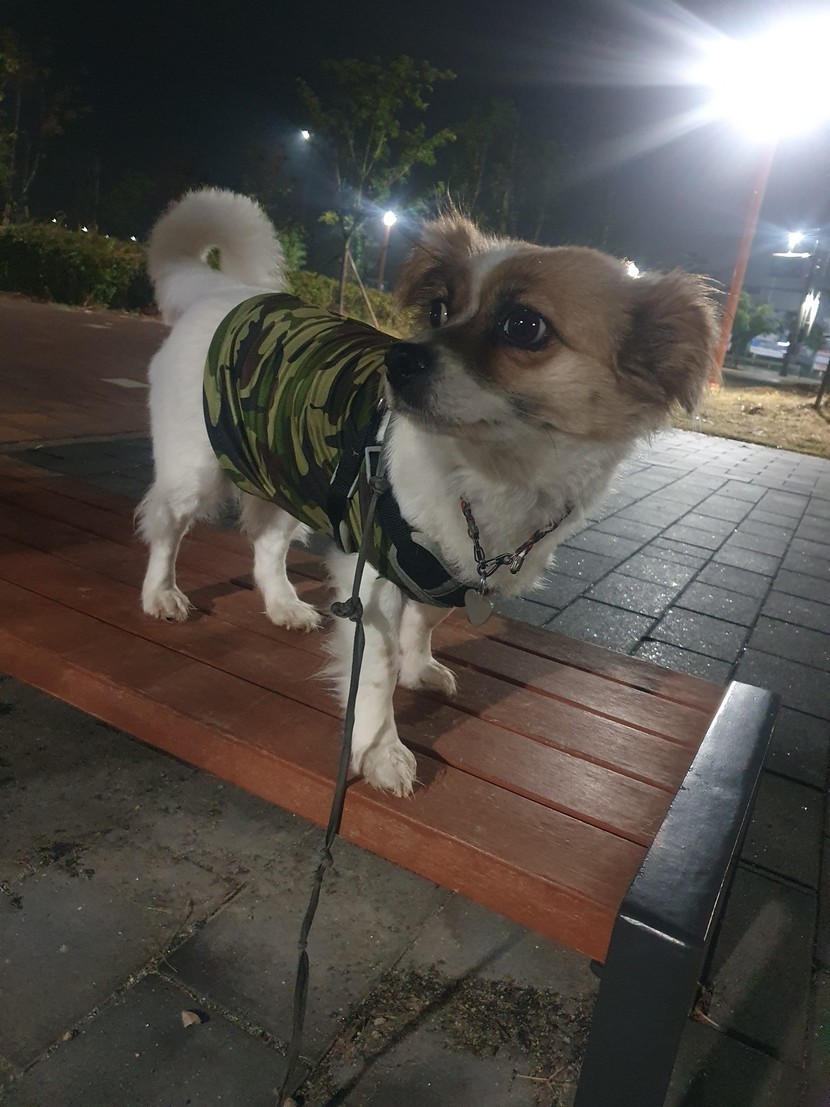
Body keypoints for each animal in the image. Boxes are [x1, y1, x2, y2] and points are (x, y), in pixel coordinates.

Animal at [139, 188, 717, 797]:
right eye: (439, 310)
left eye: (523, 325)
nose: (397, 360)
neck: (490, 477)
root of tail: (222, 293)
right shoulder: (372, 575)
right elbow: (377, 667)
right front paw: (380, 749)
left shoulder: (450, 571)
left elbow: (426, 621)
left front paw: (419, 668)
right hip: (195, 473)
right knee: (166, 526)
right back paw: (161, 594)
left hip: (288, 472)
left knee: (269, 542)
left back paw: (282, 605)